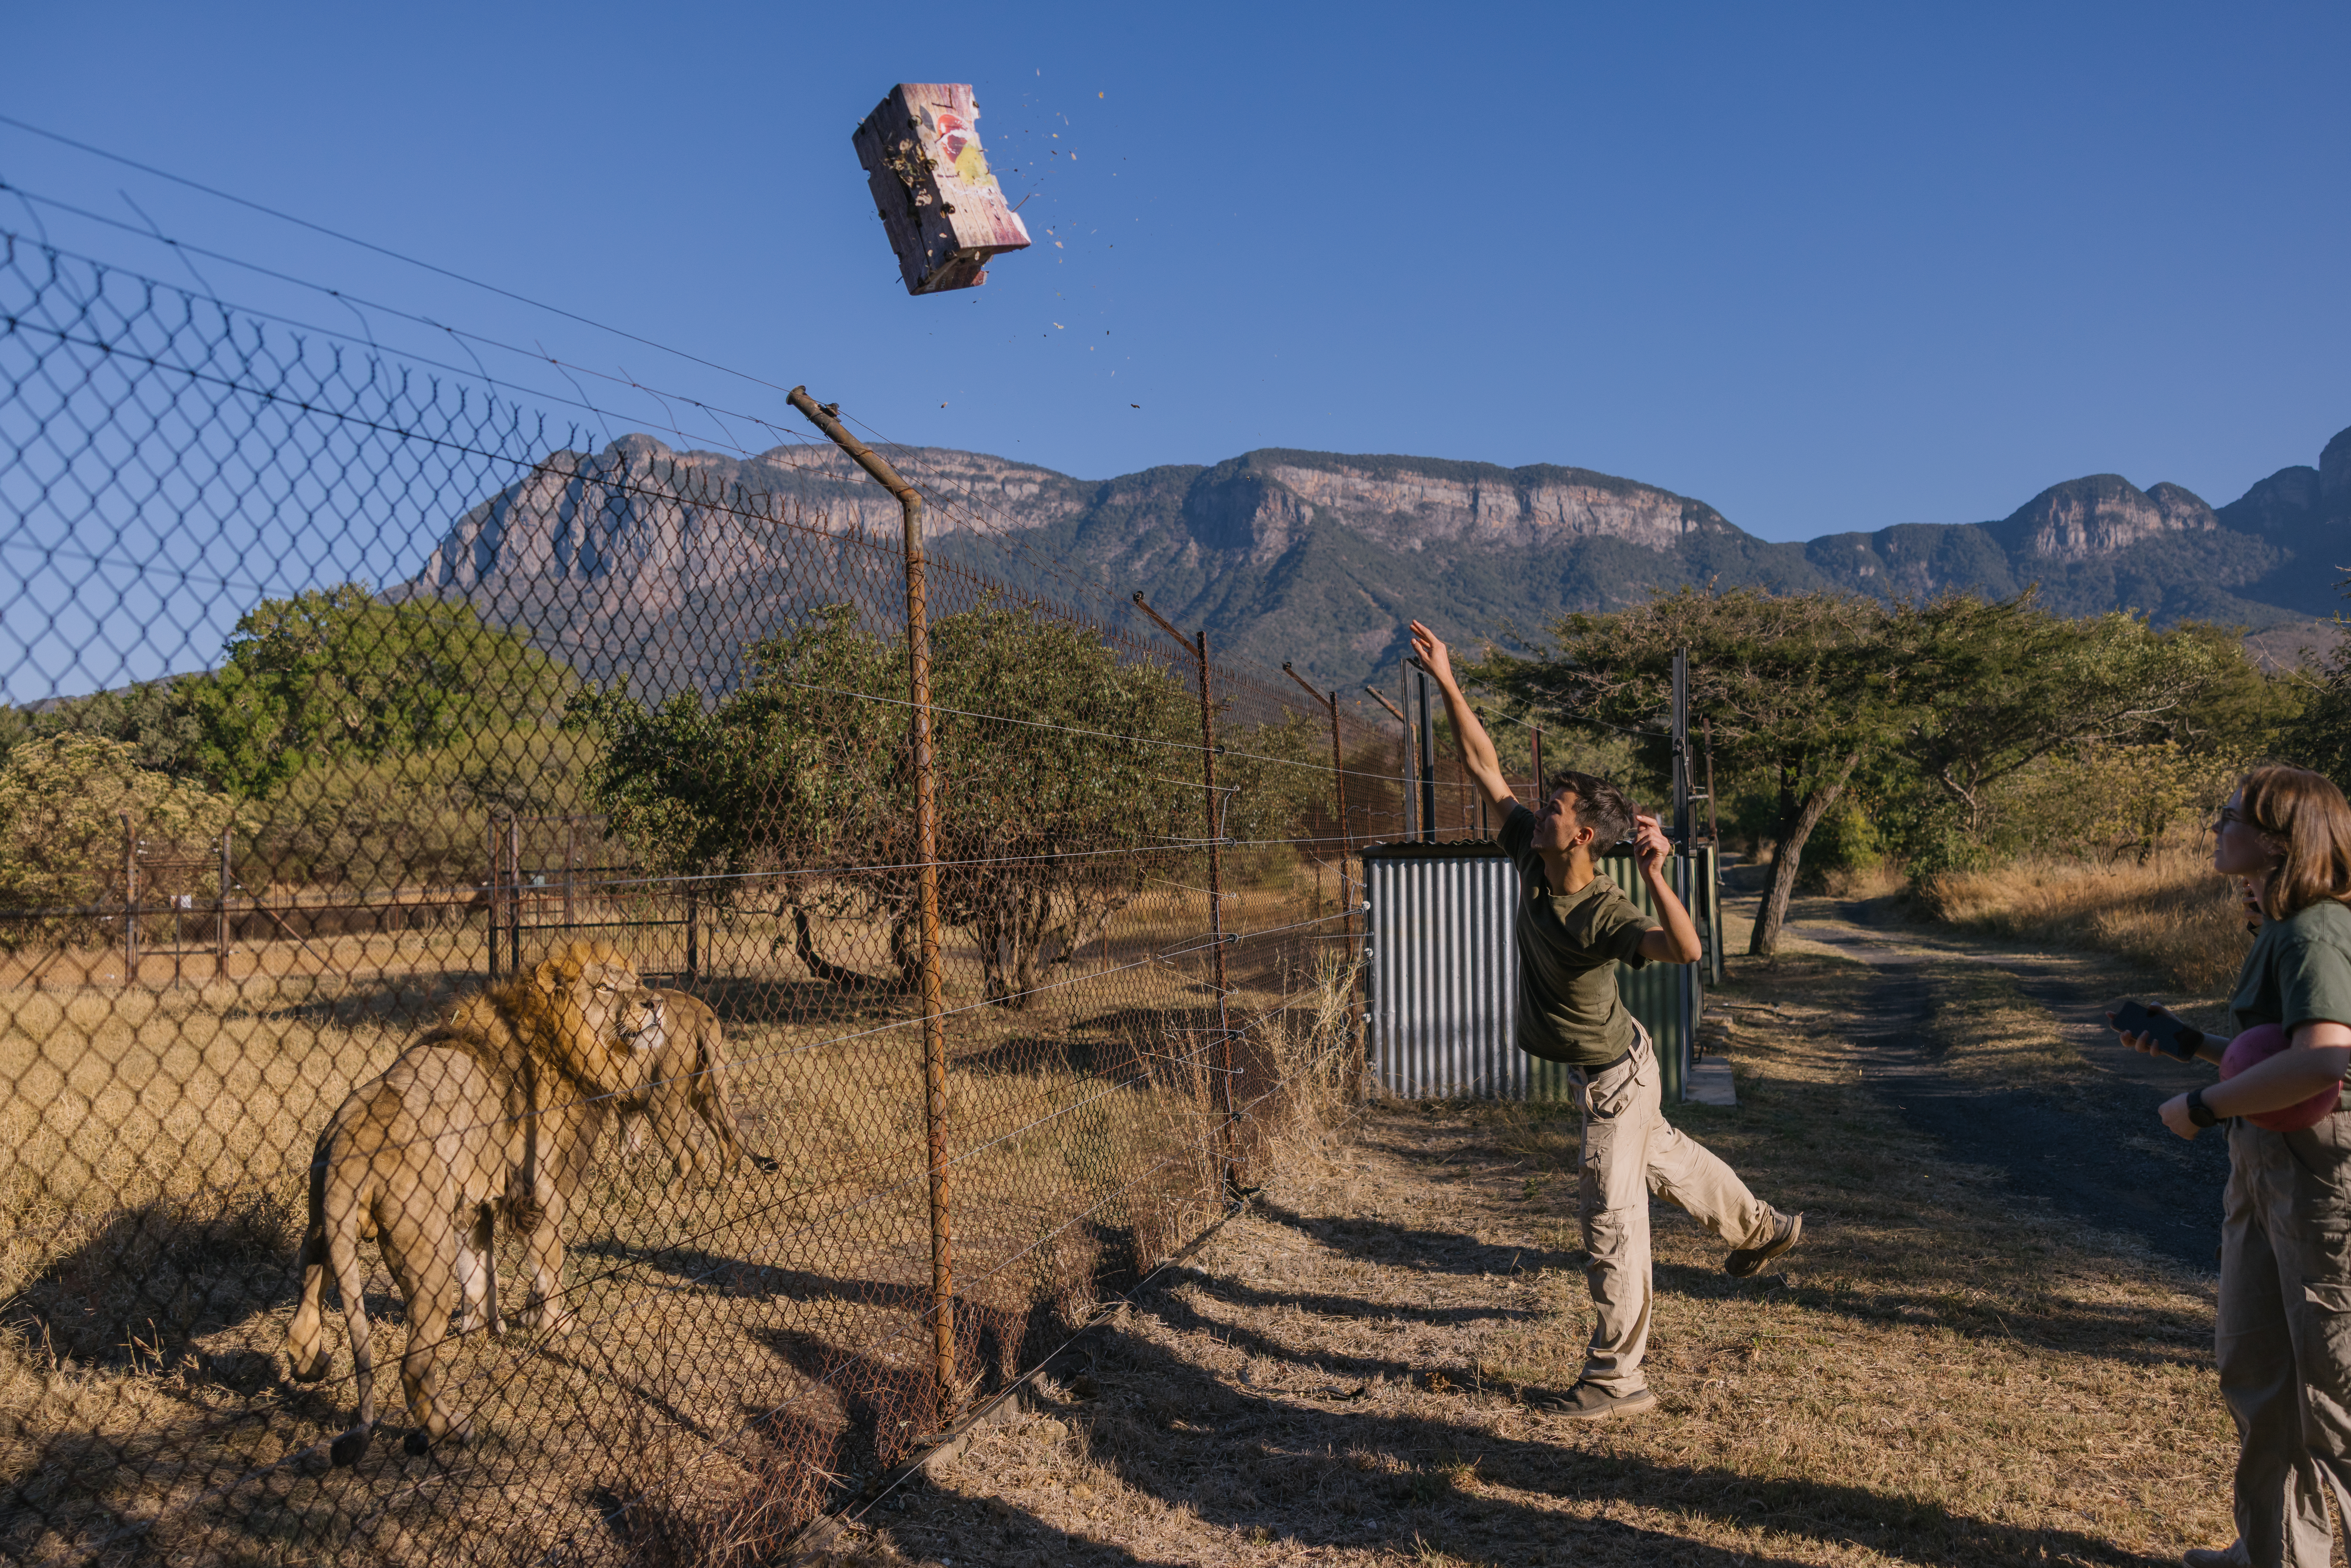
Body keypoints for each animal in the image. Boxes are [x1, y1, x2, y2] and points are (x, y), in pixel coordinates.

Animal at [283, 941, 664, 1465]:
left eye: (637, 980)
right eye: (606, 986)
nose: (657, 1002)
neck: (570, 1043)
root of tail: (349, 1140)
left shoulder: (471, 1202)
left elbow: (482, 1272)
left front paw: (488, 1326)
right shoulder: (540, 1190)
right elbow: (550, 1264)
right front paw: (557, 1324)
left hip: (323, 1231)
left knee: (300, 1322)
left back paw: (313, 1363)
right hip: (426, 1259)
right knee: (412, 1367)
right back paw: (453, 1429)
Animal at [614, 988, 780, 1179]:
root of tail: (697, 1007)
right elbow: (628, 1138)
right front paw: (629, 1171)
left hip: (661, 1099)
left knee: (692, 1155)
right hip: (704, 1087)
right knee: (728, 1140)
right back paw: (726, 1180)